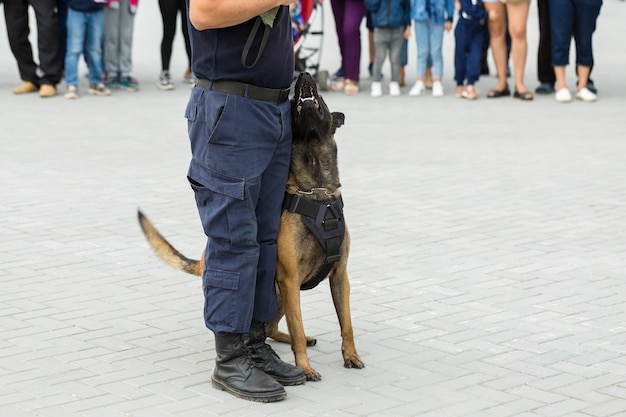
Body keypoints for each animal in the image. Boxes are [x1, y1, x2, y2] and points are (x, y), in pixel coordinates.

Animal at [136, 72, 360, 380]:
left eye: (322, 99)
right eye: (293, 99)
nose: (302, 74)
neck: (317, 192)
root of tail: (204, 260)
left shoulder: (340, 275)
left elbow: (346, 323)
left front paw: (351, 355)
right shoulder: (290, 281)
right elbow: (298, 326)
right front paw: (304, 366)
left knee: (270, 328)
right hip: (270, 290)